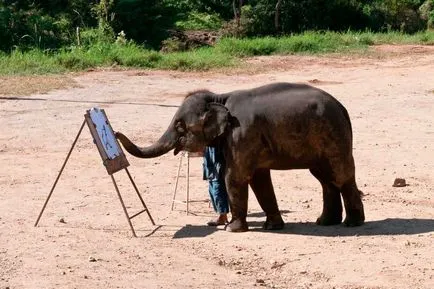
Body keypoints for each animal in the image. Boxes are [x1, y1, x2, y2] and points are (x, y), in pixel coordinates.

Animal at [116, 81, 366, 232]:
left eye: (179, 126)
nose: (116, 133)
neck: (219, 97)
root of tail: (342, 108)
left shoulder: (242, 135)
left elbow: (234, 177)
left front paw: (232, 229)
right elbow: (259, 179)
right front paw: (272, 227)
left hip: (334, 136)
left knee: (341, 176)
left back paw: (352, 224)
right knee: (325, 178)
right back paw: (325, 222)